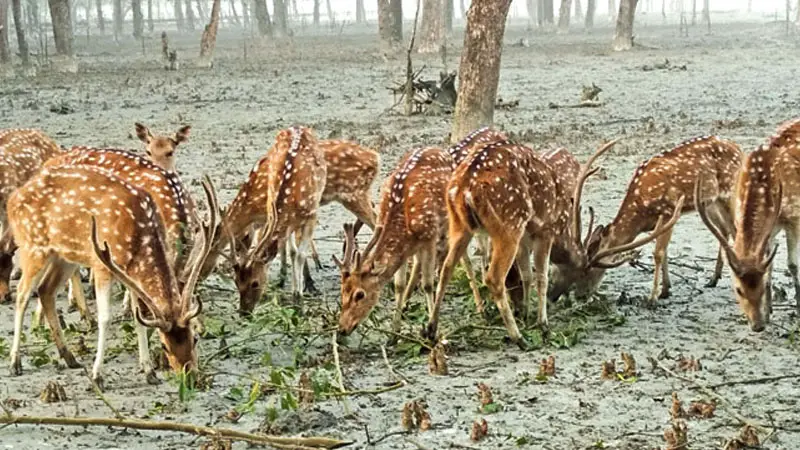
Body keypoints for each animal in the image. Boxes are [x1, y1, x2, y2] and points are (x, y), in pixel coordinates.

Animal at [336, 146, 484, 336]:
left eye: (360, 294)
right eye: (342, 292)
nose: (342, 329)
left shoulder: (429, 237)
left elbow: (428, 284)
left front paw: (431, 330)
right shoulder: (408, 248)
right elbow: (399, 284)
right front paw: (394, 332)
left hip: (449, 222)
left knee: (463, 260)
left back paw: (480, 308)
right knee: (419, 266)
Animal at [424, 141, 620, 348]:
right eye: (585, 272)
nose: (556, 296)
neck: (562, 227)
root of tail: (465, 187)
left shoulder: (525, 240)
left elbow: (527, 275)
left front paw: (526, 314)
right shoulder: (545, 231)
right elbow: (541, 277)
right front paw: (542, 324)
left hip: (459, 224)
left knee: (447, 268)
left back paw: (431, 330)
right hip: (510, 224)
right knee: (493, 277)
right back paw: (519, 338)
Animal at [552, 136, 744, 306]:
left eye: (587, 271)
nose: (580, 296)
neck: (640, 212)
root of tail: (738, 149)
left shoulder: (668, 211)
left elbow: (658, 253)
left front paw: (653, 298)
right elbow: (664, 251)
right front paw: (666, 290)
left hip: (728, 192)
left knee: (735, 229)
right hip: (710, 202)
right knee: (724, 229)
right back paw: (713, 279)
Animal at [692, 118, 800, 330]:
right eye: (738, 289)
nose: (757, 325)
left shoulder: (794, 218)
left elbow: (792, 265)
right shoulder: (770, 228)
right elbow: (770, 263)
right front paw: (769, 312)